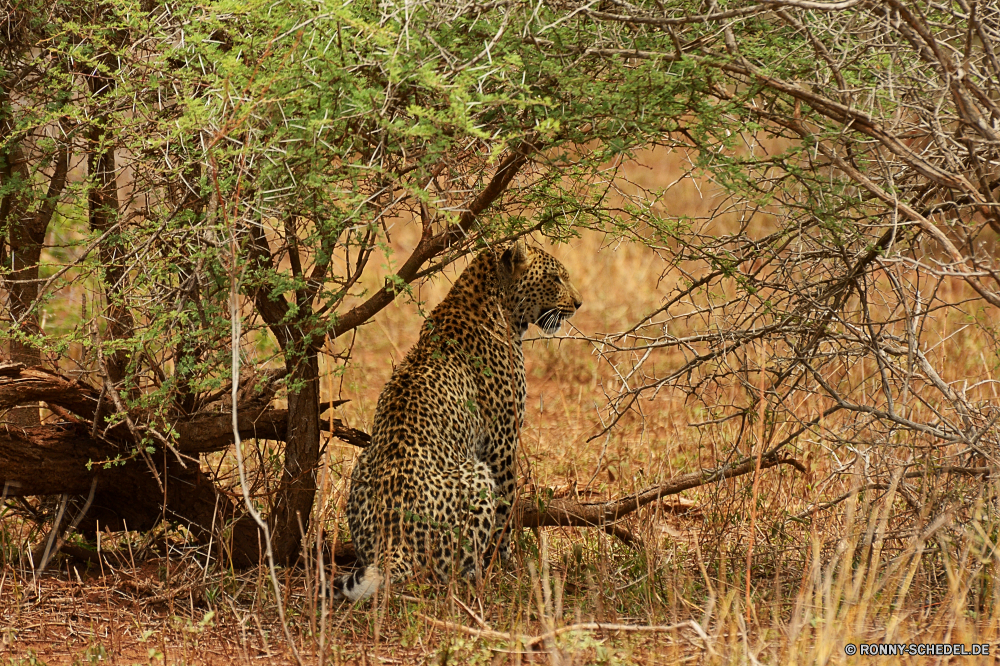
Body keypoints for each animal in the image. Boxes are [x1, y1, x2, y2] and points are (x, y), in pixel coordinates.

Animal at [334, 240, 584, 600]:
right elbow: (505, 509)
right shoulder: (501, 443)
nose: (578, 303)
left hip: (361, 466)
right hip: (476, 475)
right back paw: (476, 575)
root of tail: (393, 543)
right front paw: (506, 562)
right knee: (445, 571)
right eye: (555, 277)